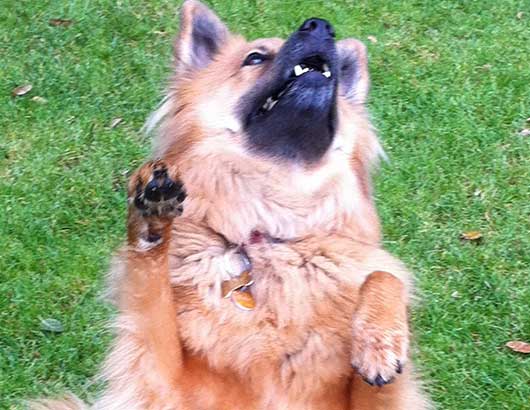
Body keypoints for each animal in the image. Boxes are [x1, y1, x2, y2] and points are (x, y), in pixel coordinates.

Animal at [32, 2, 428, 410]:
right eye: (254, 58)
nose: (321, 26)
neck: (265, 235)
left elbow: (384, 276)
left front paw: (380, 343)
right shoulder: (162, 381)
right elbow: (150, 286)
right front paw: (149, 216)